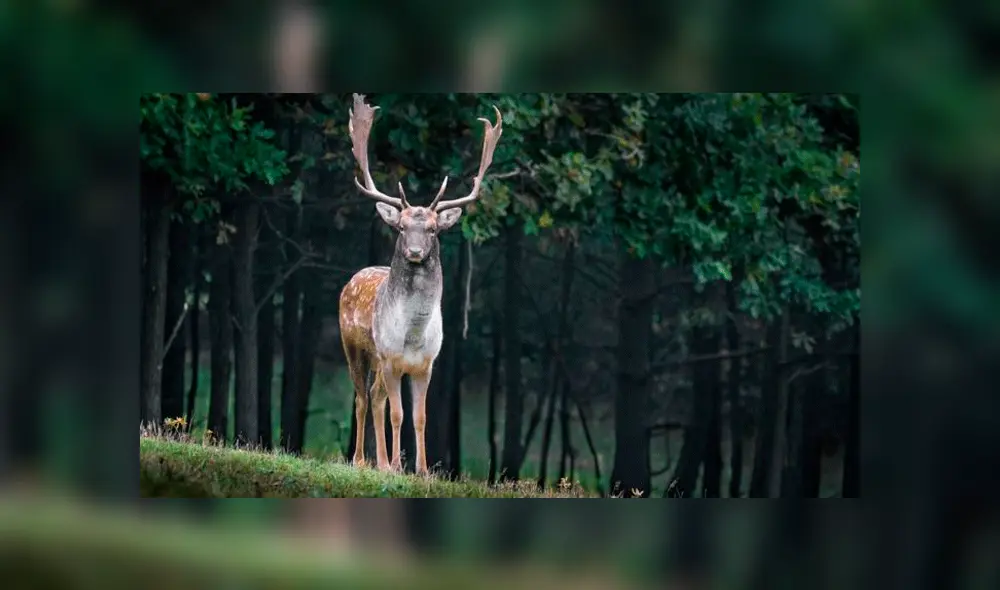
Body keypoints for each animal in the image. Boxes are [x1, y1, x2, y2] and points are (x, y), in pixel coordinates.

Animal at [339, 94, 503, 475]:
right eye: (401, 227)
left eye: (432, 229)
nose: (414, 251)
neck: (412, 336)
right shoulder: (390, 358)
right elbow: (398, 414)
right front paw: (397, 466)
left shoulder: (426, 364)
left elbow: (420, 417)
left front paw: (423, 470)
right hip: (355, 347)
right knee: (362, 397)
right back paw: (363, 460)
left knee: (375, 396)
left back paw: (380, 461)